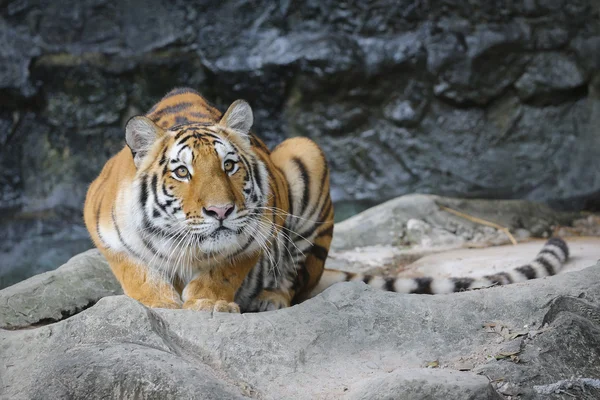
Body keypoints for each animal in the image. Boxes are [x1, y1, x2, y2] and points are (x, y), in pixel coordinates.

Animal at [83, 87, 568, 312]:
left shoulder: (255, 228)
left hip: (306, 156)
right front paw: (162, 303)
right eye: (181, 172)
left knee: (297, 280)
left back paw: (269, 298)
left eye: (229, 166)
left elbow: (225, 267)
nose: (221, 211)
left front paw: (209, 302)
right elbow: (136, 271)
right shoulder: (104, 227)